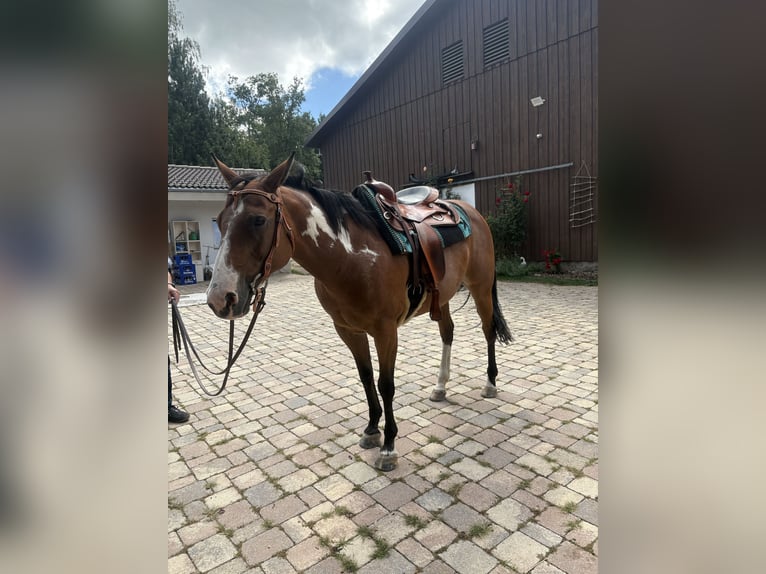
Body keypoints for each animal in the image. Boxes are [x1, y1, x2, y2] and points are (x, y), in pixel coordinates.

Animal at [206, 155, 511, 471]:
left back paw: (490, 384)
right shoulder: (348, 330)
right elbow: (365, 378)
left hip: (480, 287)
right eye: (220, 221)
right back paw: (440, 387)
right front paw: (371, 430)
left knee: (488, 330)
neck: (350, 258)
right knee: (447, 332)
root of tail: (470, 212)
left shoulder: (385, 331)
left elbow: (385, 384)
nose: (220, 298)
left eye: (258, 220)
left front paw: (388, 447)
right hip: (444, 296)